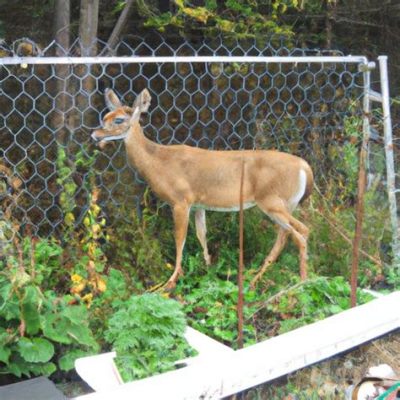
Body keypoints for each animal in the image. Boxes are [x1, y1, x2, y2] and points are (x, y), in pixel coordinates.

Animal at [92, 88, 314, 288]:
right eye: (104, 117)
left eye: (119, 120)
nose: (95, 134)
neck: (158, 163)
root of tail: (305, 168)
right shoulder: (199, 204)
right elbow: (201, 234)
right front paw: (208, 269)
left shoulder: (180, 200)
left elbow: (179, 238)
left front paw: (171, 280)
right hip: (285, 203)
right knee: (285, 236)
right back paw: (256, 280)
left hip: (272, 201)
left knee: (301, 231)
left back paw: (301, 284)